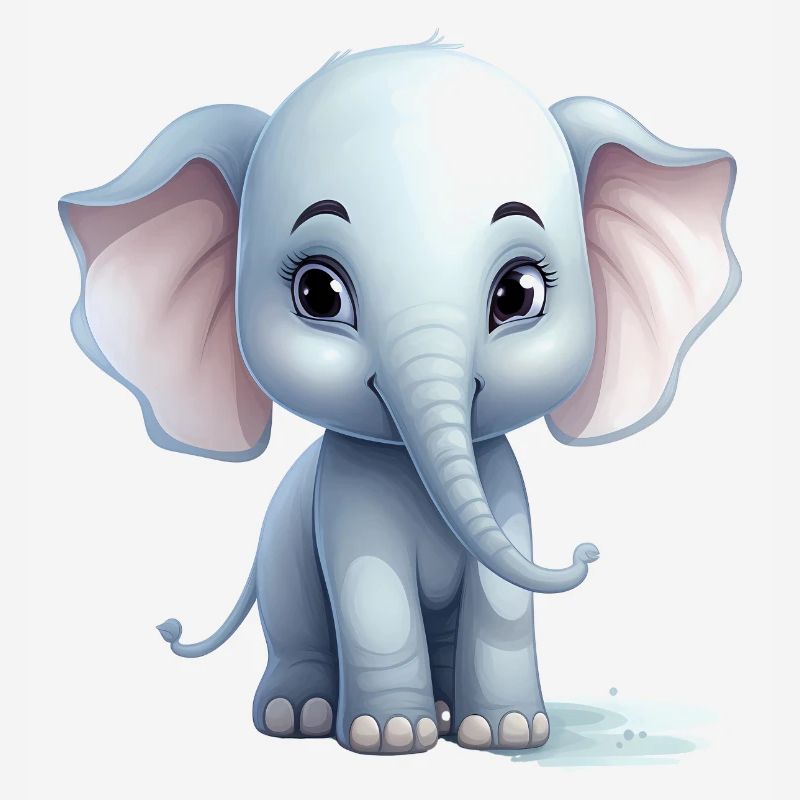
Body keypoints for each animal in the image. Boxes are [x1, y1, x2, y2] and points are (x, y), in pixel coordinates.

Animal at [59, 35, 740, 756]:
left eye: (519, 292)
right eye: (318, 292)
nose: (588, 551)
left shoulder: (504, 487)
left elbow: (502, 592)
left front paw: (511, 733)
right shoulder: (346, 498)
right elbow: (372, 588)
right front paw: (388, 738)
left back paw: (444, 716)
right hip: (279, 556)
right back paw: (301, 716)